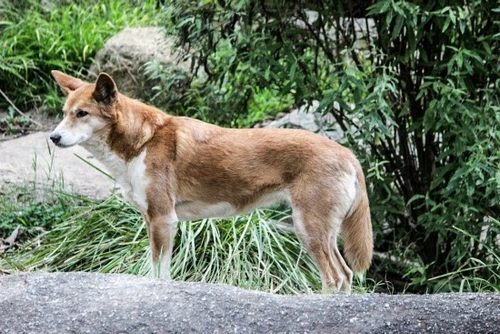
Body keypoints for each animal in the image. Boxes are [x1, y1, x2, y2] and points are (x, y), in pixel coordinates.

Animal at [50, 71, 372, 292]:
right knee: (345, 276)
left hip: (308, 228)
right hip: (322, 233)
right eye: (64, 114)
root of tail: (348, 154)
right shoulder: (151, 220)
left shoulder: (163, 219)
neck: (143, 142)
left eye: (82, 114)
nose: (53, 137)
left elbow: (160, 272)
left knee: (335, 277)